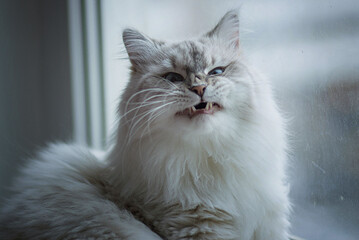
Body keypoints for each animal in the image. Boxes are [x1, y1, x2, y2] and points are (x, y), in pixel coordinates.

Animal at [0, 10, 292, 240]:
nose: (199, 88)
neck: (208, 158)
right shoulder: (197, 226)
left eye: (216, 72)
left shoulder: (270, 223)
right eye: (173, 78)